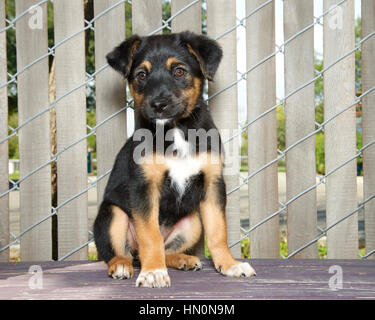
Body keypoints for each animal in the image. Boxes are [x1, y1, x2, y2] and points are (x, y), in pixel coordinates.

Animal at [94, 31, 256, 288]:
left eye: (179, 71)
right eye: (141, 75)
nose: (159, 105)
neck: (177, 129)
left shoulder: (212, 183)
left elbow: (218, 232)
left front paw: (229, 264)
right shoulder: (144, 187)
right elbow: (150, 236)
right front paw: (152, 272)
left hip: (193, 222)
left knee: (167, 249)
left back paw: (183, 260)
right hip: (113, 214)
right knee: (120, 253)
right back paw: (122, 265)